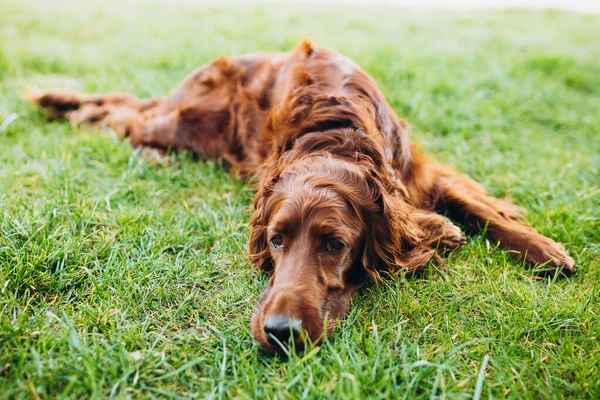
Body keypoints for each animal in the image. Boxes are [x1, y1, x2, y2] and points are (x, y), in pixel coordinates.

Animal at [30, 40, 576, 352]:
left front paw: (546, 249)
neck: (335, 132)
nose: (279, 332)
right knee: (119, 117)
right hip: (186, 122)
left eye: (335, 245)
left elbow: (478, 206)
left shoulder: (415, 169)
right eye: (275, 240)